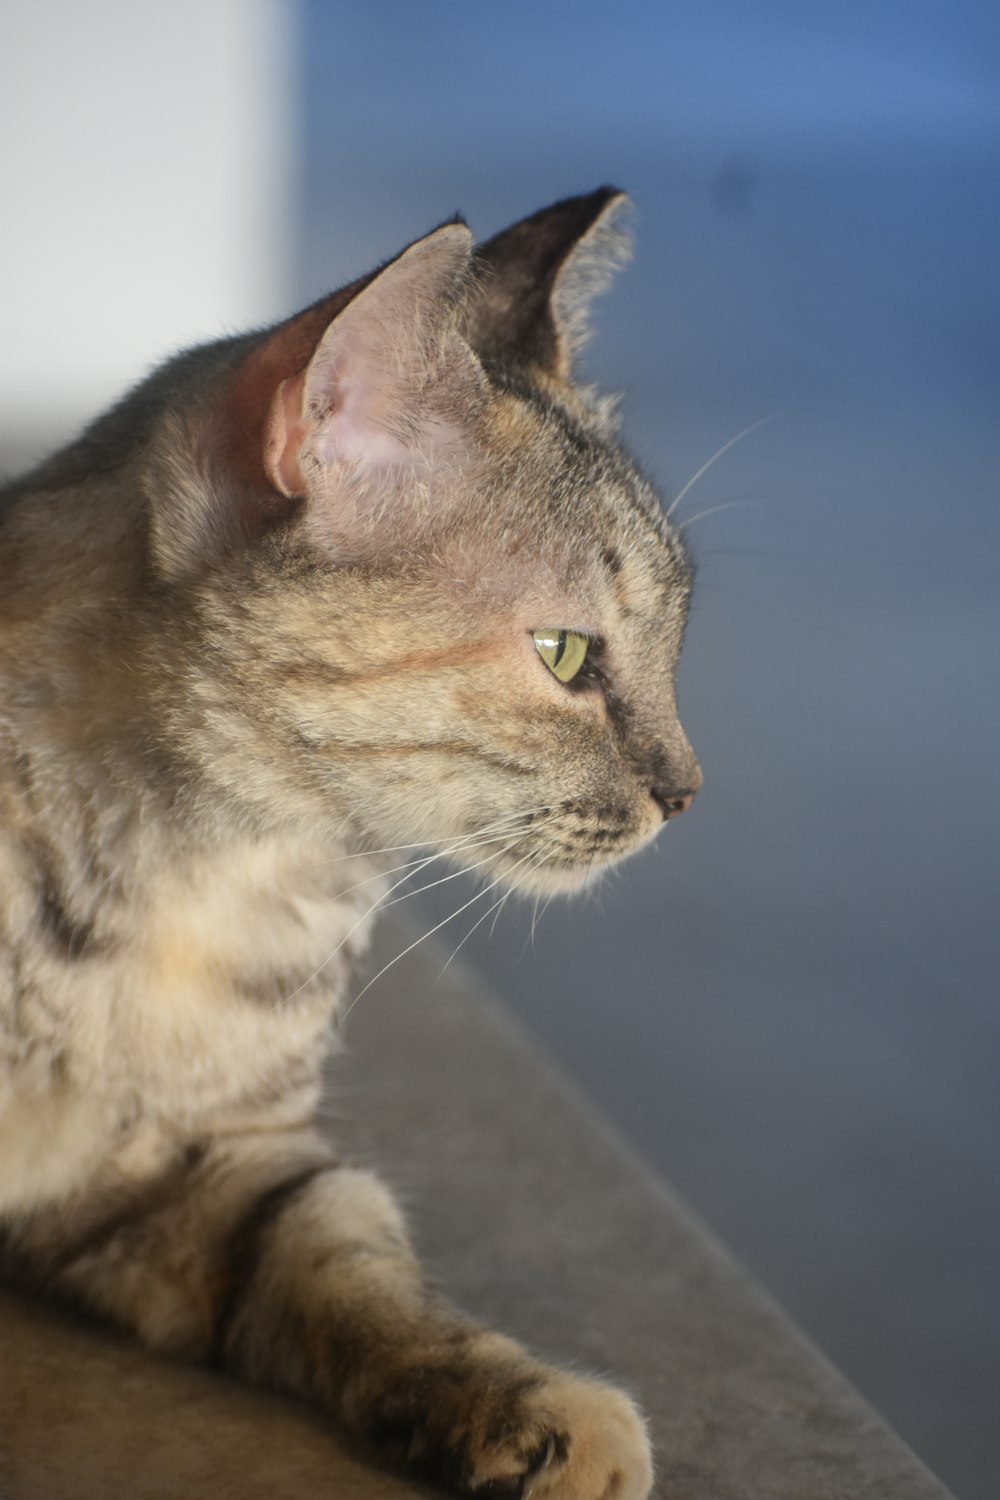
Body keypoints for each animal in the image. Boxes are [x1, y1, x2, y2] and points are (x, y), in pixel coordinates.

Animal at [0, 190, 701, 1500]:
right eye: (568, 656)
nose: (688, 791)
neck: (194, 881)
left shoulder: (215, 1165)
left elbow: (349, 1255)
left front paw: (525, 1402)